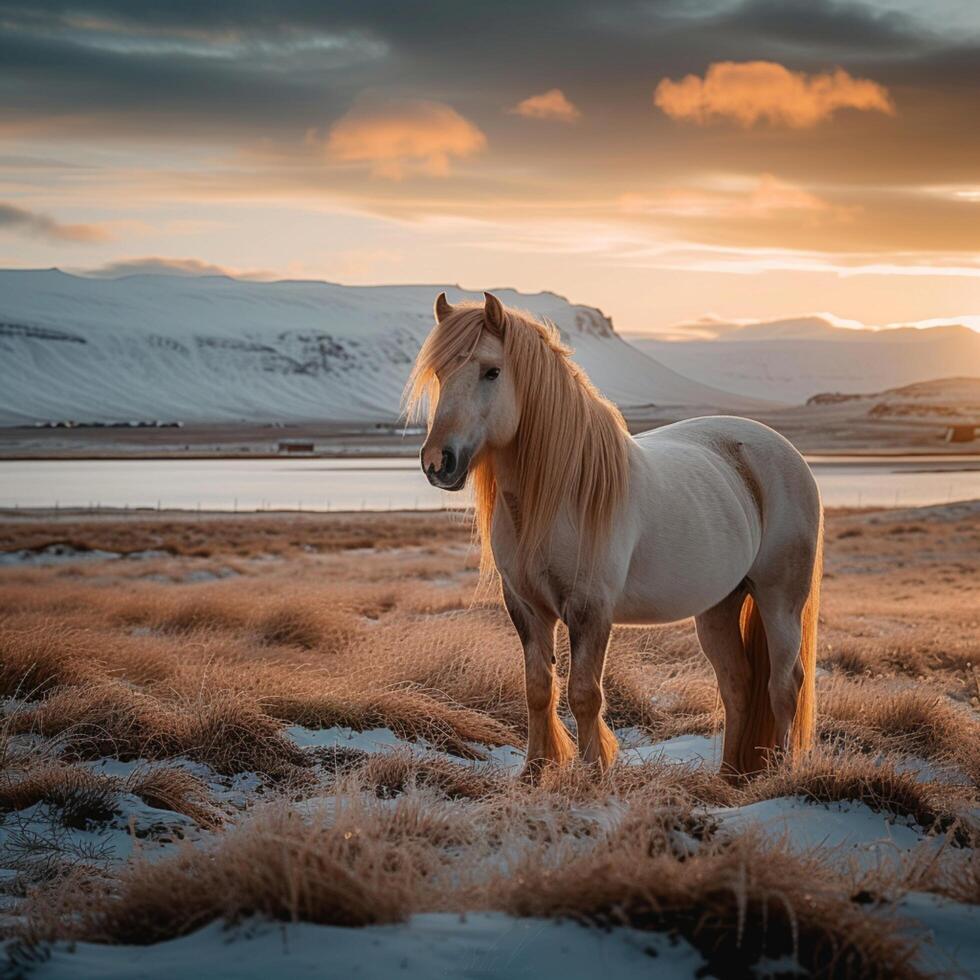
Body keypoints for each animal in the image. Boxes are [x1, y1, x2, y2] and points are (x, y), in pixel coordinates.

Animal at [410, 290, 824, 780]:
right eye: (440, 373)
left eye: (491, 371)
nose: (438, 462)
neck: (557, 496)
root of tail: (783, 449)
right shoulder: (526, 608)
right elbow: (537, 689)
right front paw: (533, 774)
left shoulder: (591, 610)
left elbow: (584, 694)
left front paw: (594, 777)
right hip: (719, 606)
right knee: (738, 685)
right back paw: (728, 779)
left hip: (780, 598)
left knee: (784, 684)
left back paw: (780, 774)